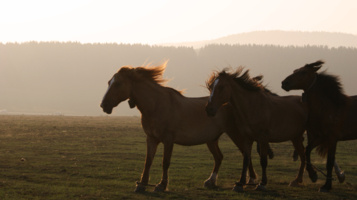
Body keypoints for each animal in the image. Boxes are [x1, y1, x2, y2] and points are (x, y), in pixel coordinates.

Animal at [98, 62, 260, 192]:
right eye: (109, 82)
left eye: (118, 83)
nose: (104, 105)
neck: (156, 105)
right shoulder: (151, 139)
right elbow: (148, 161)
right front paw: (142, 185)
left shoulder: (168, 140)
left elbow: (165, 162)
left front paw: (161, 185)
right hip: (211, 139)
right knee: (219, 157)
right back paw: (211, 181)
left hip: (235, 134)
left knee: (246, 154)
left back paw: (249, 181)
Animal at [282, 61, 352, 192]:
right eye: (295, 71)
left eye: (303, 72)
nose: (284, 83)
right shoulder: (321, 136)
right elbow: (308, 151)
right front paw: (313, 175)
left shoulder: (330, 137)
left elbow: (328, 161)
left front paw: (325, 184)